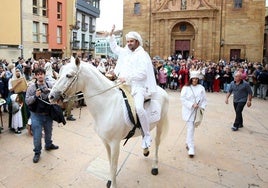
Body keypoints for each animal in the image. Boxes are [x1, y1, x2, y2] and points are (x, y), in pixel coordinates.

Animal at [49, 57, 169, 188]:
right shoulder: (105, 142)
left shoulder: (115, 143)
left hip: (160, 124)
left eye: (69, 75)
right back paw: (146, 149)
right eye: (58, 74)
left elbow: (114, 165)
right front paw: (110, 180)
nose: (51, 96)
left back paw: (155, 166)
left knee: (157, 143)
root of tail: (162, 90)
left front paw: (113, 184)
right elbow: (110, 162)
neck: (107, 105)